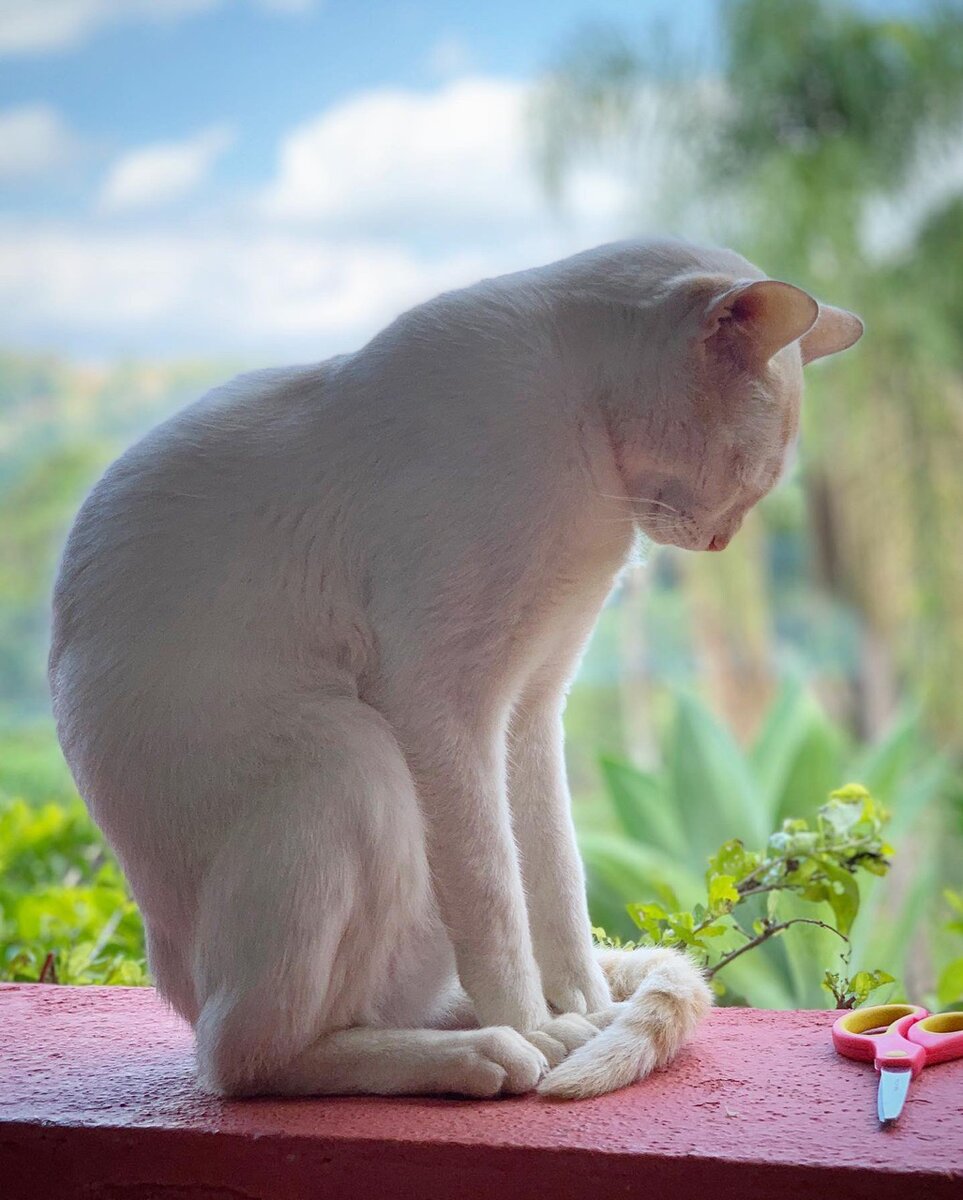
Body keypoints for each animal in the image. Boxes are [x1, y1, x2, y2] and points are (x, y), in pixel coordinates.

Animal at [48, 241, 859, 1099]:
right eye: (749, 470)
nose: (719, 542)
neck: (587, 480)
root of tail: (174, 979)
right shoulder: (445, 705)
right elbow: (496, 898)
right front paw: (538, 1024)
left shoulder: (531, 708)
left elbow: (555, 883)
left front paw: (585, 1009)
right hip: (351, 760)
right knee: (243, 1057)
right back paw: (488, 1053)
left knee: (372, 1012)